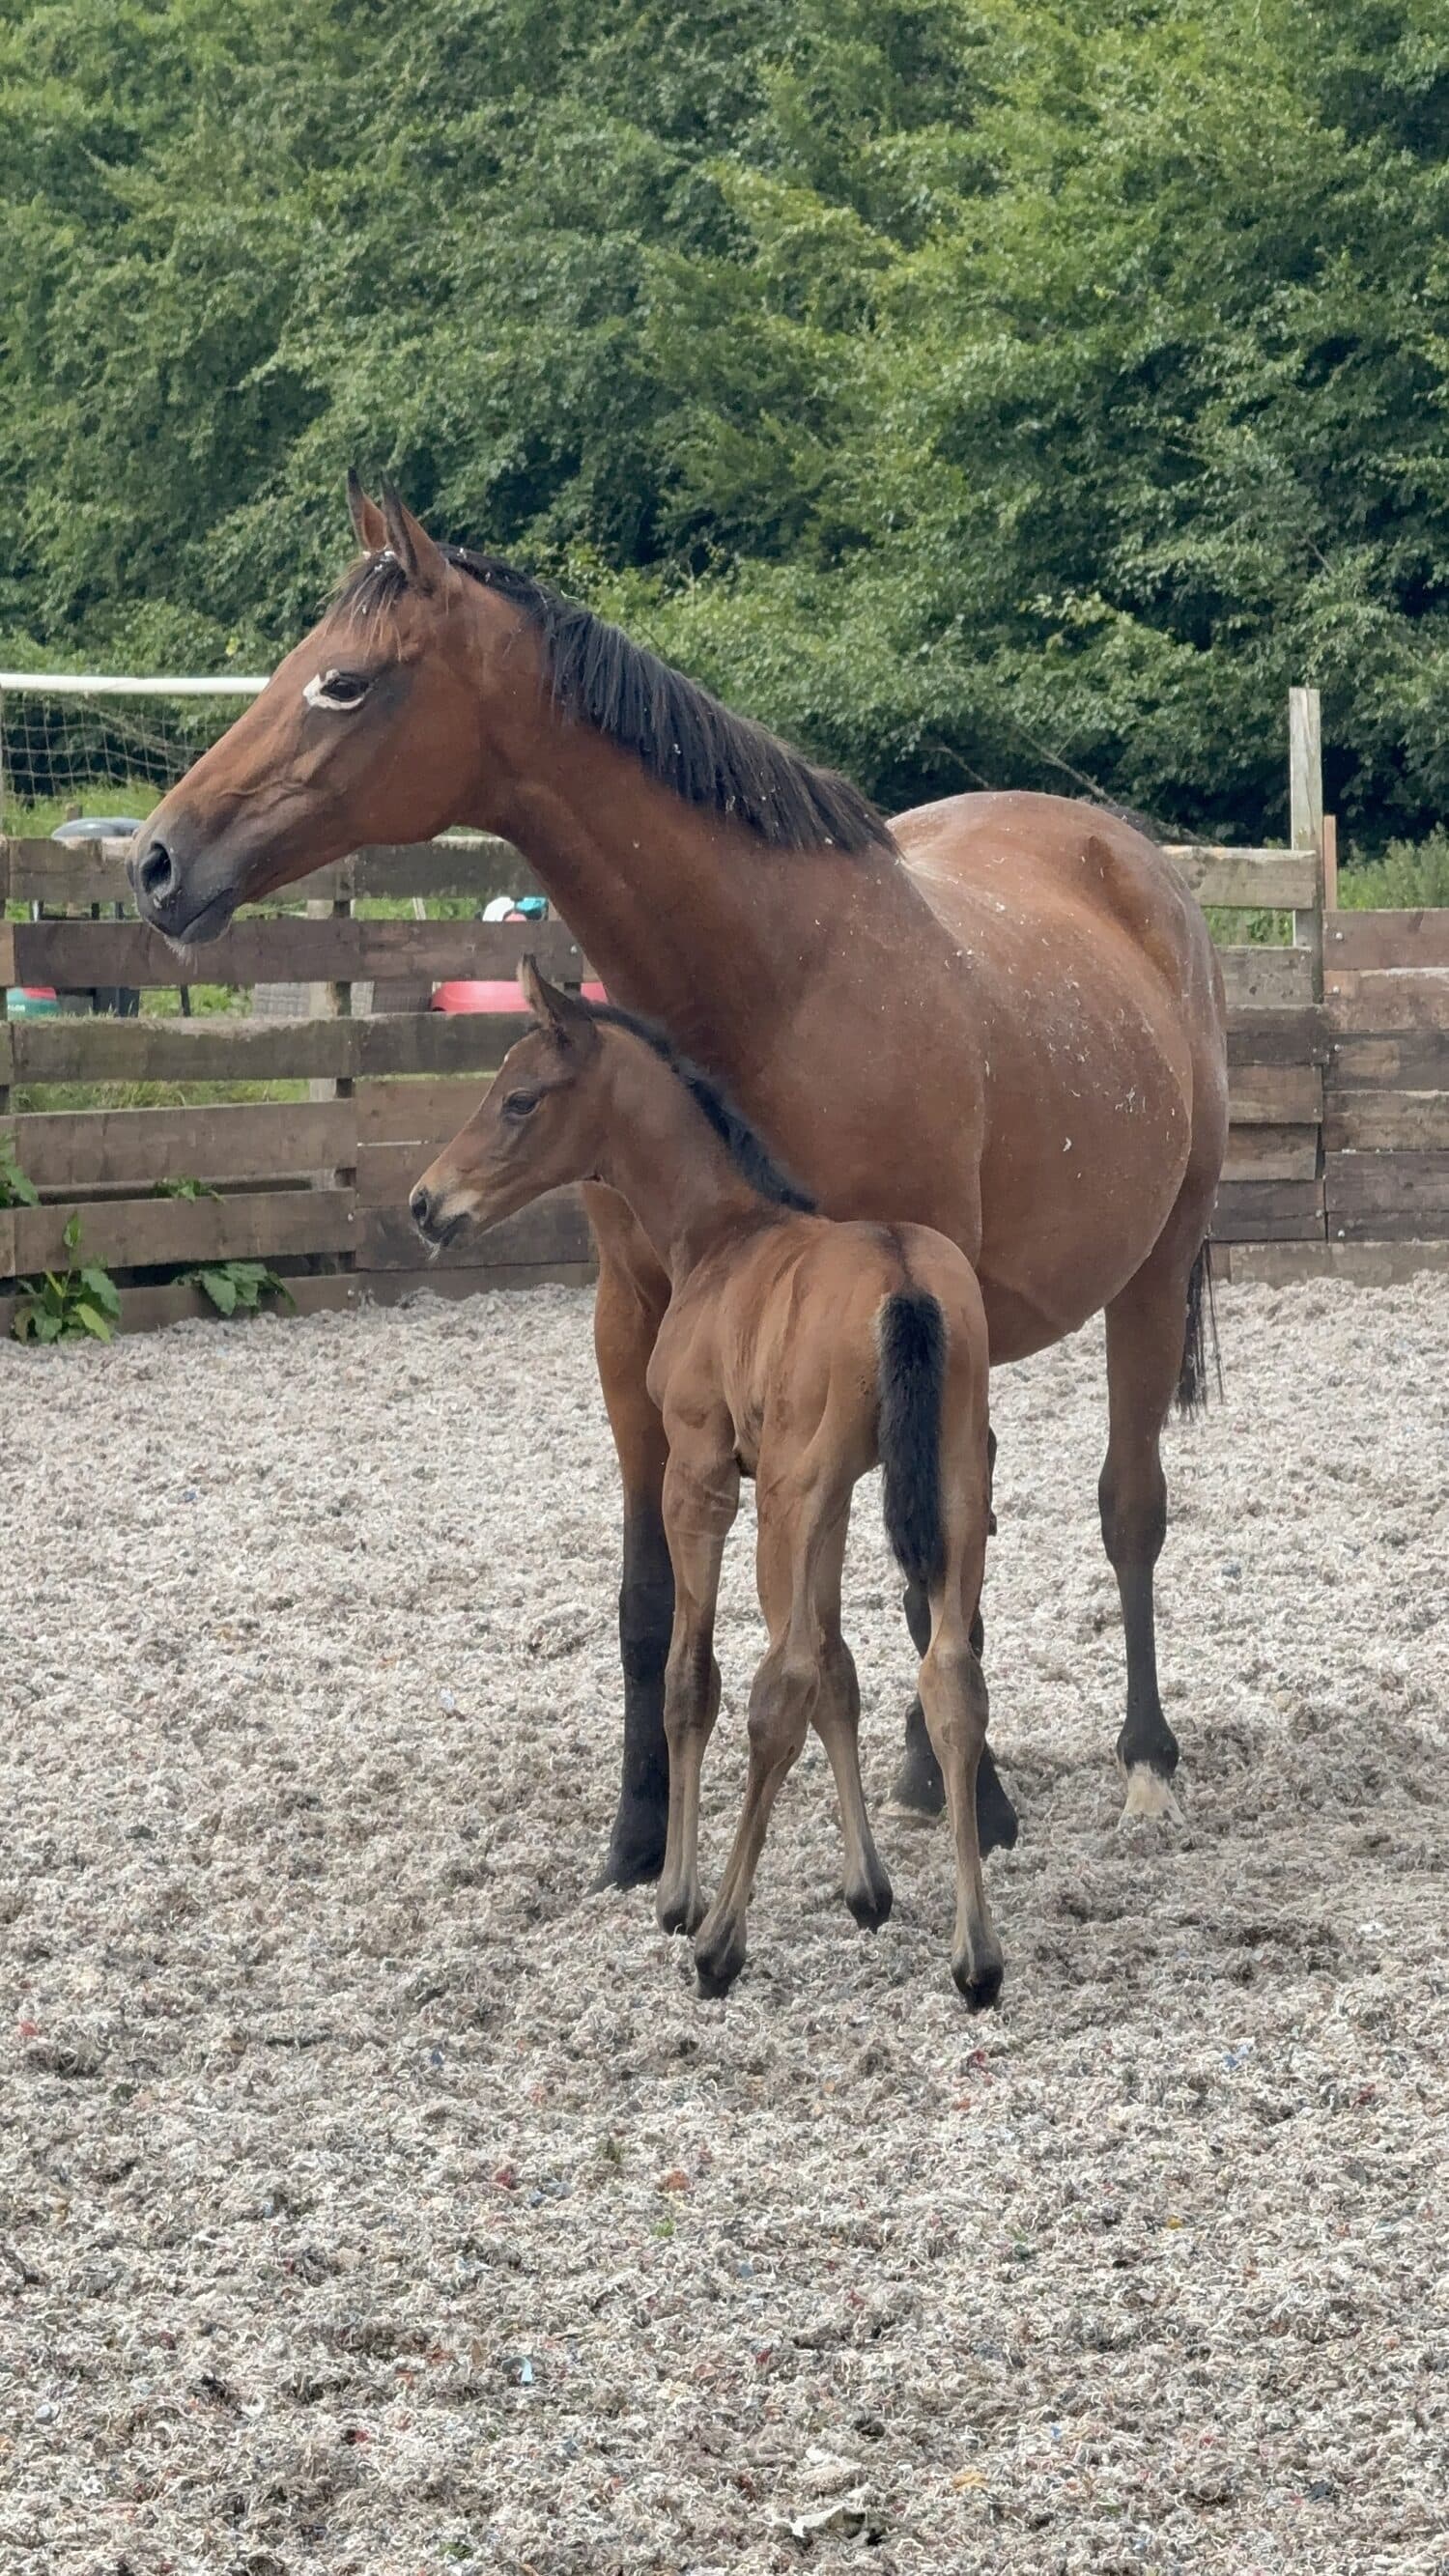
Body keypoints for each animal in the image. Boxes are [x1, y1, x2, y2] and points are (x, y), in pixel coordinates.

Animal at [130, 472, 1228, 1888]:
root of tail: (1128, 862)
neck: (771, 978)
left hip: (1149, 1269)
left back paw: (1143, 1763)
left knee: (1121, 1508)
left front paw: (978, 1802)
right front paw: (638, 1830)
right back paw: (928, 1770)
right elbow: (653, 1592)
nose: (156, 861)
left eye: (346, 684)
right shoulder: (639, 1322)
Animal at [412, 959, 1001, 2004]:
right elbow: (844, 1669)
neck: (723, 1233)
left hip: (782, 1500)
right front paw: (868, 1888)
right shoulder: (839, 1500)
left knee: (781, 1682)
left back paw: (721, 1938)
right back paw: (976, 1958)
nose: (425, 1203)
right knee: (948, 1677)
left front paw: (676, 1895)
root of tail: (902, 1281)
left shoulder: (702, 1475)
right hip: (948, 1486)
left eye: (519, 1099)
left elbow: (695, 1676)